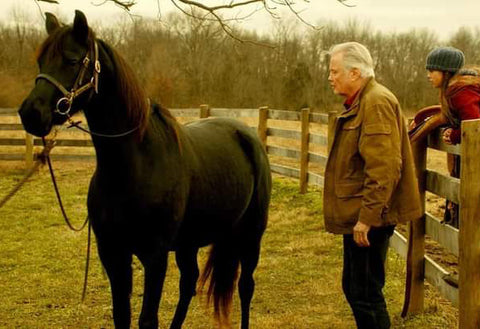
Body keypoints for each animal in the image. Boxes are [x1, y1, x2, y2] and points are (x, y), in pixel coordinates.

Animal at [17, 10, 270, 328]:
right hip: (189, 243)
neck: (133, 168)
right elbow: (122, 315)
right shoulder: (113, 253)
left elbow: (147, 319)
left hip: (251, 234)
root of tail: (247, 134)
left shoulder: (155, 255)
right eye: (40, 61)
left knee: (245, 287)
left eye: (72, 60)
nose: (30, 113)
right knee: (189, 283)